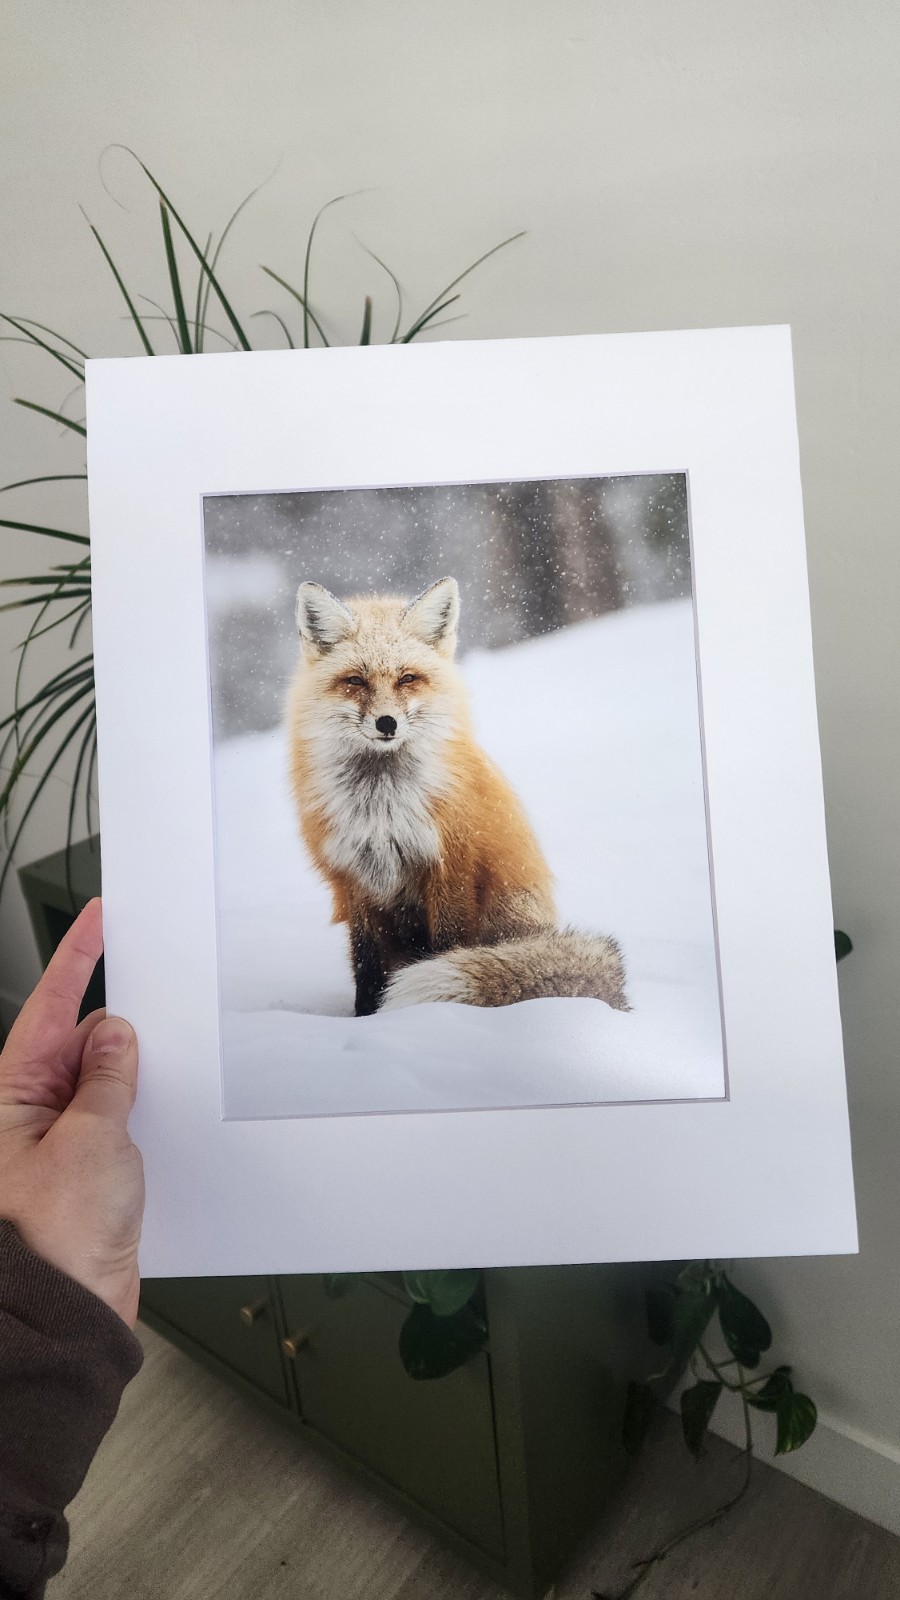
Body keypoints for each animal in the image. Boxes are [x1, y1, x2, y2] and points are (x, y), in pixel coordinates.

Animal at [286, 575, 628, 1018]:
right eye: (355, 681)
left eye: (407, 678)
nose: (386, 723)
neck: (383, 807)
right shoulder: (354, 878)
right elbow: (366, 963)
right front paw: (365, 1019)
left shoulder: (452, 868)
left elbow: (448, 945)